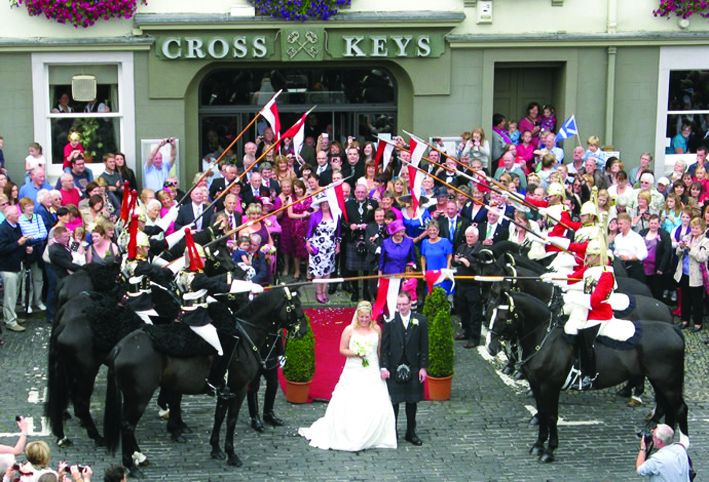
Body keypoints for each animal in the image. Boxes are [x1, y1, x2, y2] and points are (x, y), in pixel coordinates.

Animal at [103, 287, 307, 477]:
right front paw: (232, 455)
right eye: (295, 305)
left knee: (127, 424)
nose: (304, 330)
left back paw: (139, 457)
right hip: (140, 397)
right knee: (128, 426)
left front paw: (216, 449)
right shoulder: (239, 389)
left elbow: (219, 417)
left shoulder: (225, 391)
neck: (244, 338)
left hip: (132, 397)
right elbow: (231, 420)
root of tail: (120, 347)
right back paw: (132, 465)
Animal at [486, 290, 688, 463]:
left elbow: (551, 416)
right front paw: (538, 445)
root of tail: (673, 329)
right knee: (666, 407)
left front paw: (549, 451)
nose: (490, 348)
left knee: (679, 409)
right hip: (660, 381)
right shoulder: (537, 385)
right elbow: (542, 413)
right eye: (489, 313)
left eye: (503, 318)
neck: (546, 340)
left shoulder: (550, 387)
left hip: (668, 383)